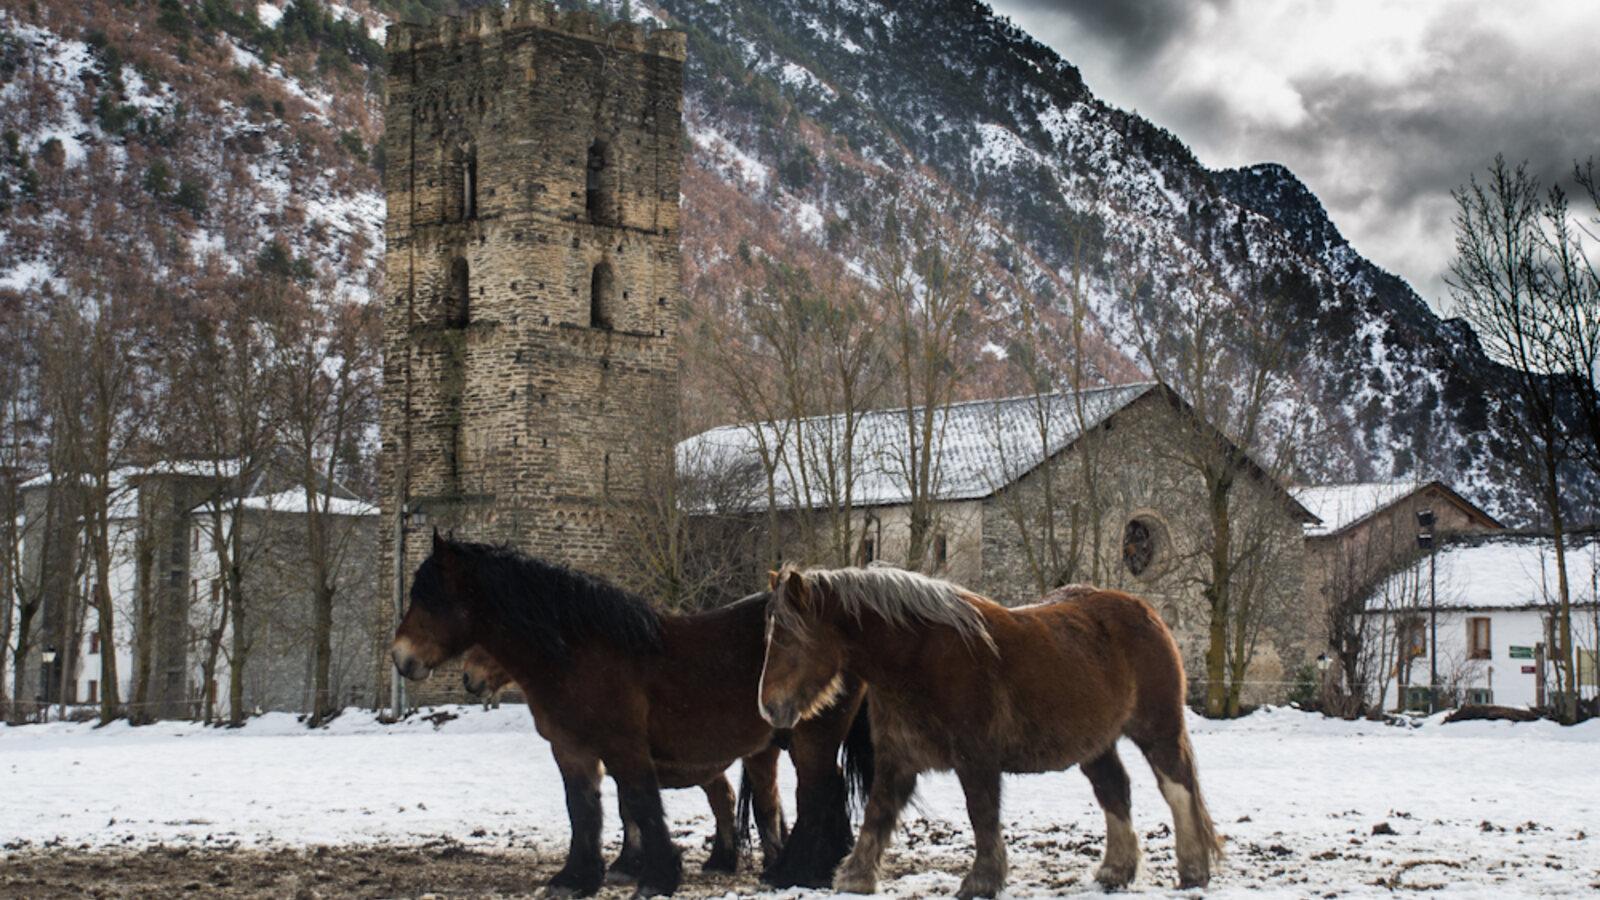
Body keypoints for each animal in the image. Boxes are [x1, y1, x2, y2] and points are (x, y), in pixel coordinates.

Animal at [758, 566, 1223, 898]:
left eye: (788, 639)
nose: (769, 707)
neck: (920, 659)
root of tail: (1144, 610)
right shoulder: (897, 759)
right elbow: (878, 812)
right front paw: (854, 877)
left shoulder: (975, 758)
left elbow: (981, 813)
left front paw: (981, 881)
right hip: (1096, 744)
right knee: (1115, 791)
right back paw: (1114, 871)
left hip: (1158, 728)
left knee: (1178, 789)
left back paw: (1193, 870)